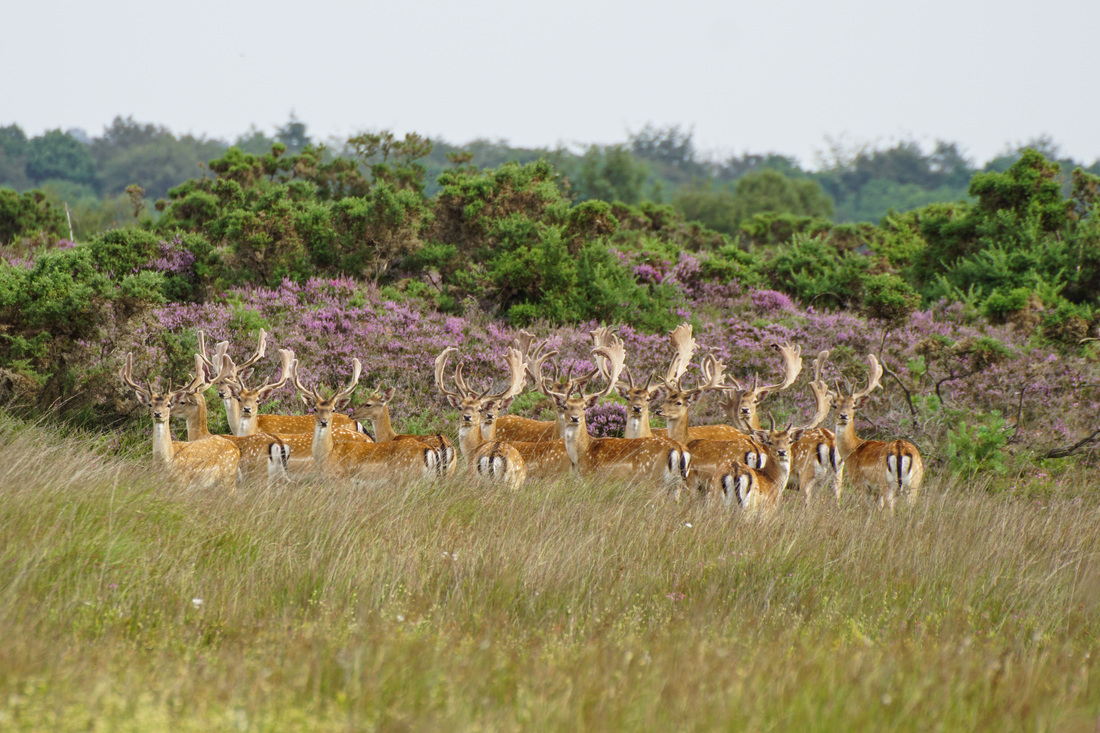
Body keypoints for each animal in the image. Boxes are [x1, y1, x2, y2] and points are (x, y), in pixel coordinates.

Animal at [119, 352, 242, 488]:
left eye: (168, 404)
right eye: (150, 404)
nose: (157, 413)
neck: (165, 463)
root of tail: (235, 448)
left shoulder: (183, 483)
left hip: (228, 479)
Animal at [297, 356, 446, 482]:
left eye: (333, 409)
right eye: (315, 408)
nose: (324, 422)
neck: (327, 455)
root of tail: (431, 450)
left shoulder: (341, 479)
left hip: (407, 476)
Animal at [827, 352, 924, 508]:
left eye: (853, 406)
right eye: (835, 405)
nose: (843, 415)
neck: (852, 449)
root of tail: (900, 449)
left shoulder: (860, 483)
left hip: (886, 483)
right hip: (914, 482)